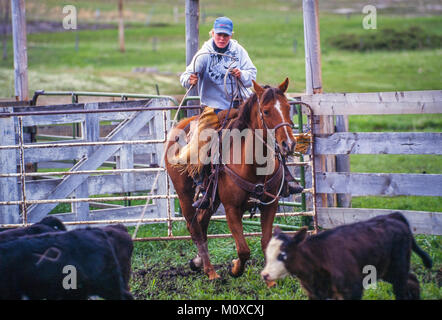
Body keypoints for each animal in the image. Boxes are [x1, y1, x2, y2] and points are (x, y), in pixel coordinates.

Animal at [166, 79, 296, 278]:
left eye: (288, 107)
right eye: (266, 111)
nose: (288, 144)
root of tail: (181, 125)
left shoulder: (270, 205)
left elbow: (265, 243)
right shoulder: (231, 208)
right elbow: (243, 249)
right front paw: (235, 268)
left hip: (211, 199)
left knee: (202, 221)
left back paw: (199, 262)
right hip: (184, 195)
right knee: (194, 227)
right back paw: (211, 272)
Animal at [260, 212, 434, 300]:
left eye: (282, 254)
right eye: (267, 255)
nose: (265, 275)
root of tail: (394, 217)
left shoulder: (352, 290)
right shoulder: (315, 294)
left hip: (398, 269)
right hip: (388, 271)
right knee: (412, 281)